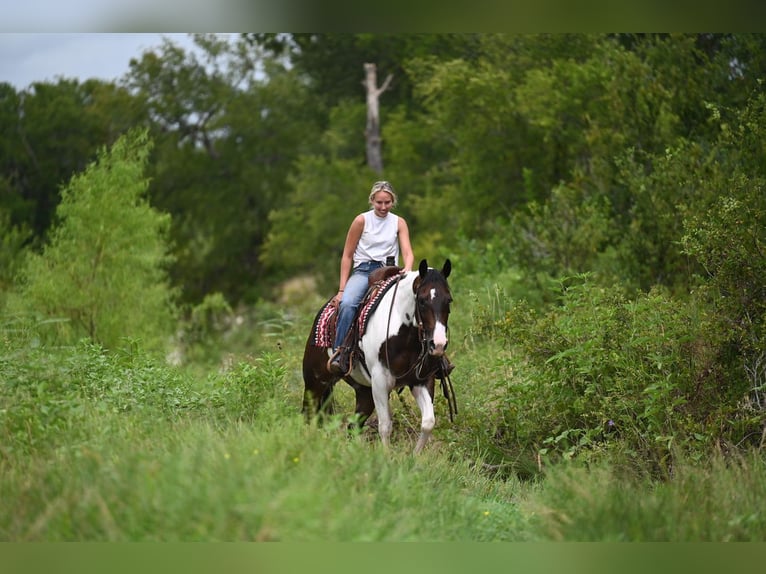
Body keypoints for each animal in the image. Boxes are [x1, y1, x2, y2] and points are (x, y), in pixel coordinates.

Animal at [302, 258, 454, 454]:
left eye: (449, 300)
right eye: (422, 300)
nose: (438, 344)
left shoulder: (422, 381)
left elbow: (428, 422)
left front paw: (414, 457)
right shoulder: (380, 382)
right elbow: (385, 426)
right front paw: (386, 457)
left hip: (364, 392)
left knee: (353, 426)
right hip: (314, 384)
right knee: (307, 416)